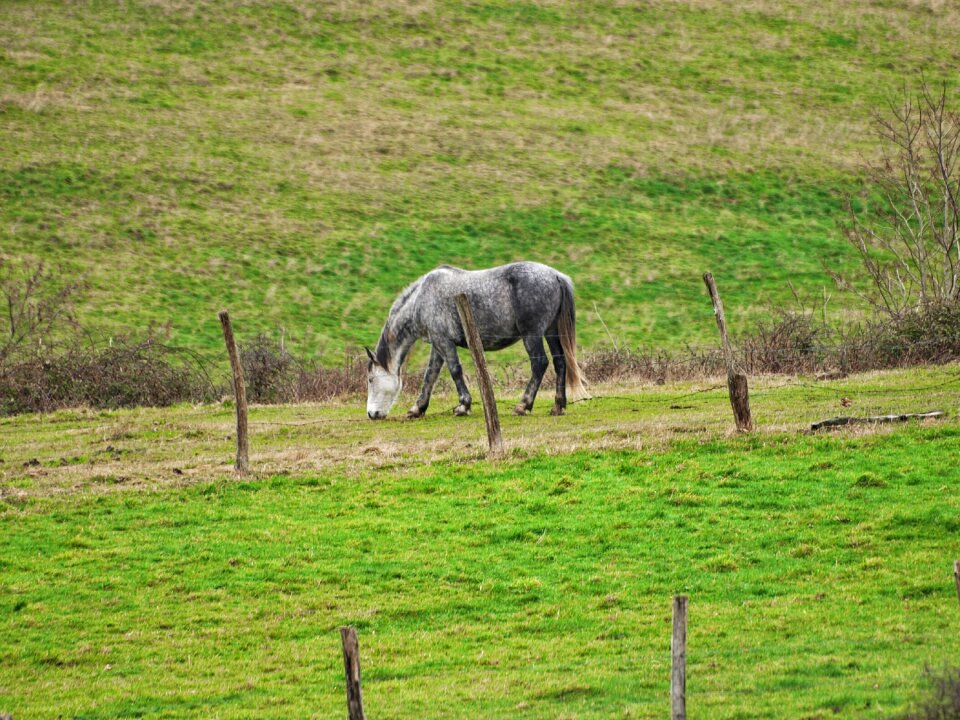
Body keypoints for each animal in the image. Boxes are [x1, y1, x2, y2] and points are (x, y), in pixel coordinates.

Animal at [364, 262, 588, 422]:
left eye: (371, 379)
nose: (371, 414)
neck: (421, 298)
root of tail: (555, 275)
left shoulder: (444, 342)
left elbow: (455, 370)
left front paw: (463, 406)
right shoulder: (438, 344)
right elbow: (430, 376)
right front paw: (417, 409)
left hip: (532, 335)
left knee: (540, 364)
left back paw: (523, 405)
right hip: (551, 333)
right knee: (560, 363)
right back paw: (558, 406)